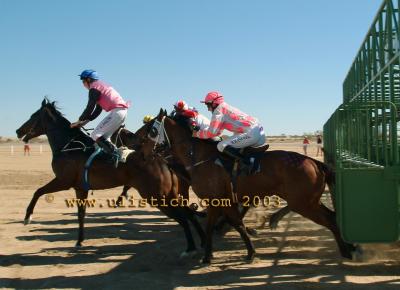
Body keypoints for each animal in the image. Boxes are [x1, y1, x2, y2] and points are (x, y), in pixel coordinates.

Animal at [14, 100, 206, 256]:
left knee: (183, 217)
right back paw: (203, 241)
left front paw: (27, 217)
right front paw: (79, 241)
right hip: (169, 194)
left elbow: (38, 192)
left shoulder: (63, 181)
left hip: (156, 196)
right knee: (189, 213)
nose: (17, 130)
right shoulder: (80, 188)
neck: (69, 146)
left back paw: (190, 247)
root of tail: (162, 159)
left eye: (33, 116)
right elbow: (81, 214)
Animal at [141, 109, 356, 262]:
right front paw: (245, 252)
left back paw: (348, 251)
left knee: (331, 220)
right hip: (308, 201)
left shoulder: (215, 199)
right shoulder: (223, 201)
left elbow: (222, 225)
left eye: (150, 129)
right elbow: (234, 224)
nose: (140, 150)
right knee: (333, 217)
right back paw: (350, 248)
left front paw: (209, 255)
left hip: (303, 203)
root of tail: (314, 163)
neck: (199, 157)